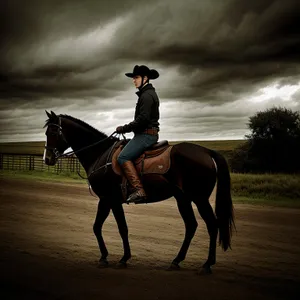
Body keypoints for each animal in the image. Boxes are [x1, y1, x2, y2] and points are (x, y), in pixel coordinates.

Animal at [44, 110, 234, 274]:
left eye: (52, 132)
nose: (47, 159)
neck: (100, 153)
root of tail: (206, 151)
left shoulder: (108, 199)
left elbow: (114, 228)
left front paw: (115, 258)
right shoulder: (108, 200)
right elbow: (105, 227)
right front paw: (113, 257)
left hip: (199, 198)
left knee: (212, 225)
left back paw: (207, 264)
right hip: (183, 198)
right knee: (191, 226)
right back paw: (176, 261)